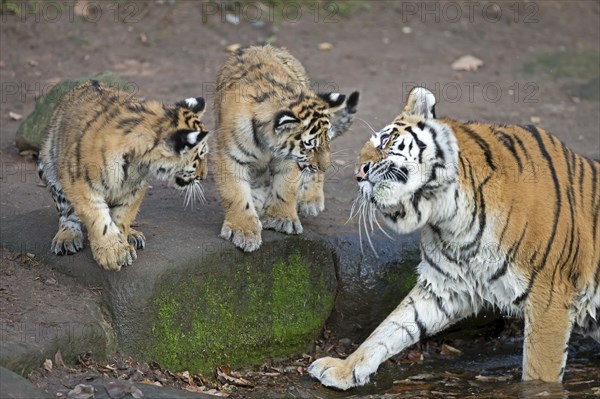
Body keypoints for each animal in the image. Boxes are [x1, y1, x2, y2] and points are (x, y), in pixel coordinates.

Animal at [310, 87, 600, 390]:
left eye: (386, 140)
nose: (358, 174)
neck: (450, 214)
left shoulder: (549, 298)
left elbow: (538, 373)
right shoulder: (444, 286)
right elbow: (392, 327)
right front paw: (344, 368)